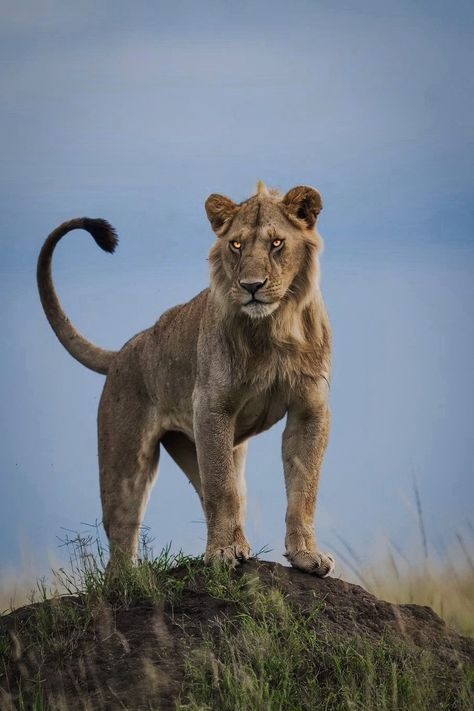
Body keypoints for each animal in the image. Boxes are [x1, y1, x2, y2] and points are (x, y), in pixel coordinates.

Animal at [36, 184, 334, 580]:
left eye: (276, 243)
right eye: (236, 245)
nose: (251, 286)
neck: (273, 327)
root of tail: (124, 351)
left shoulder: (309, 409)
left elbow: (304, 489)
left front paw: (305, 556)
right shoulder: (212, 407)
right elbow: (222, 488)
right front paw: (222, 554)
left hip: (199, 445)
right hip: (126, 463)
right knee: (123, 537)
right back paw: (131, 579)